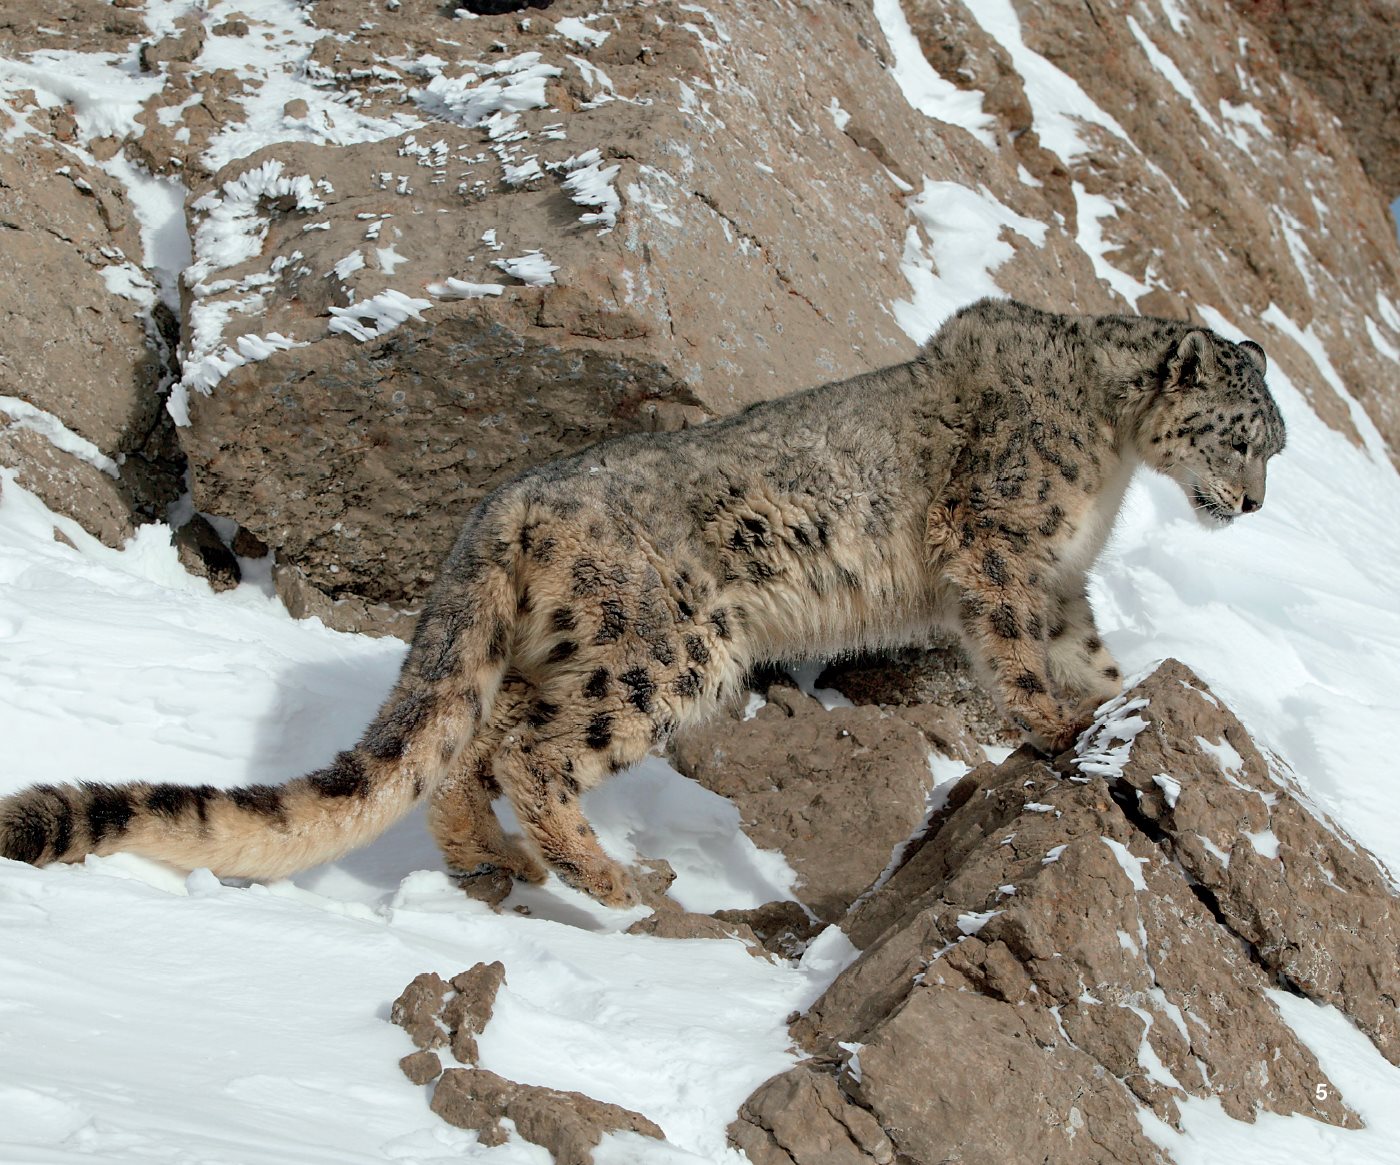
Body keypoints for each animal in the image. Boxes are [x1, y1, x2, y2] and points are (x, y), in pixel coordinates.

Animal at [0, 295, 1282, 907]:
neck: (1109, 460)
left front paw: (1130, 694)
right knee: (529, 747)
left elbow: (1087, 649)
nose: (1256, 504)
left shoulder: (1061, 579)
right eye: (1243, 433)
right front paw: (1065, 729)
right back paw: (609, 877)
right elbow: (1016, 654)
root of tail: (506, 501)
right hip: (667, 650)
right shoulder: (997, 542)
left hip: (556, 649)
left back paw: (493, 865)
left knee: (469, 742)